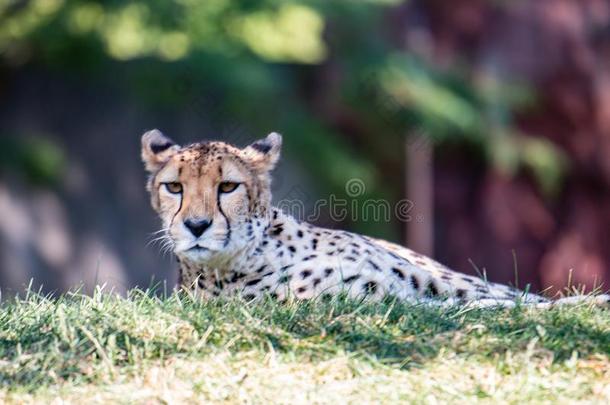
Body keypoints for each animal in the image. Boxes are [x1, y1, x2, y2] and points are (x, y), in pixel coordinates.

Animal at [141, 129, 608, 306]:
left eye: (228, 187)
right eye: (175, 188)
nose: (196, 226)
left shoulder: (430, 284)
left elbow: (510, 301)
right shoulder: (385, 302)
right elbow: (488, 309)